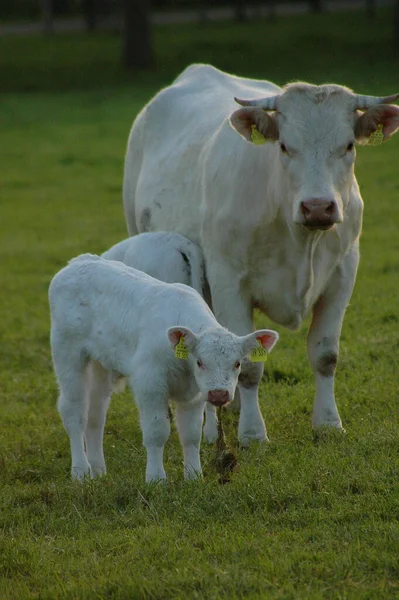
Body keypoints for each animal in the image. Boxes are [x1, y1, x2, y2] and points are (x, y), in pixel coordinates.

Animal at [49, 254, 278, 482]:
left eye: (238, 363)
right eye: (200, 361)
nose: (219, 394)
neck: (184, 369)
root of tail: (79, 261)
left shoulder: (195, 394)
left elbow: (191, 434)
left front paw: (194, 476)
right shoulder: (149, 384)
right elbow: (157, 431)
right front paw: (155, 478)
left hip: (101, 364)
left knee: (96, 414)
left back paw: (98, 469)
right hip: (67, 353)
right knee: (74, 411)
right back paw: (81, 471)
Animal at [124, 64, 399, 446]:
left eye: (347, 146)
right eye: (284, 146)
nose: (318, 207)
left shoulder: (343, 274)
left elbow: (325, 355)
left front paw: (328, 422)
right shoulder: (228, 280)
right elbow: (251, 367)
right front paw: (253, 433)